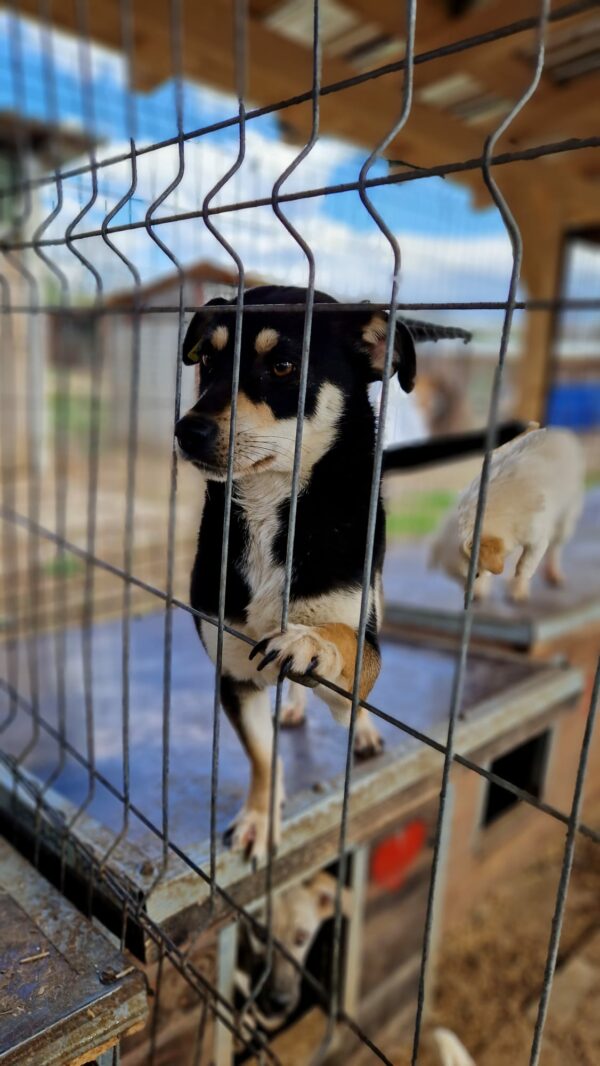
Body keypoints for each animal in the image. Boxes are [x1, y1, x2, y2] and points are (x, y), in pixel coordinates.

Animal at [173, 287, 475, 861]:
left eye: (283, 366)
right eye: (207, 361)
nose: (187, 431)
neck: (272, 510)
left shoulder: (359, 639)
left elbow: (342, 642)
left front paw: (310, 644)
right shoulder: (233, 674)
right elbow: (263, 756)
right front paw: (259, 818)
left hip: (376, 593)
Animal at [430, 426, 584, 609]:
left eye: (475, 575)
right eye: (455, 579)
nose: (474, 599)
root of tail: (560, 431)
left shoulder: (537, 538)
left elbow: (525, 564)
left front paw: (517, 587)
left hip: (566, 517)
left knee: (555, 548)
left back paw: (553, 573)